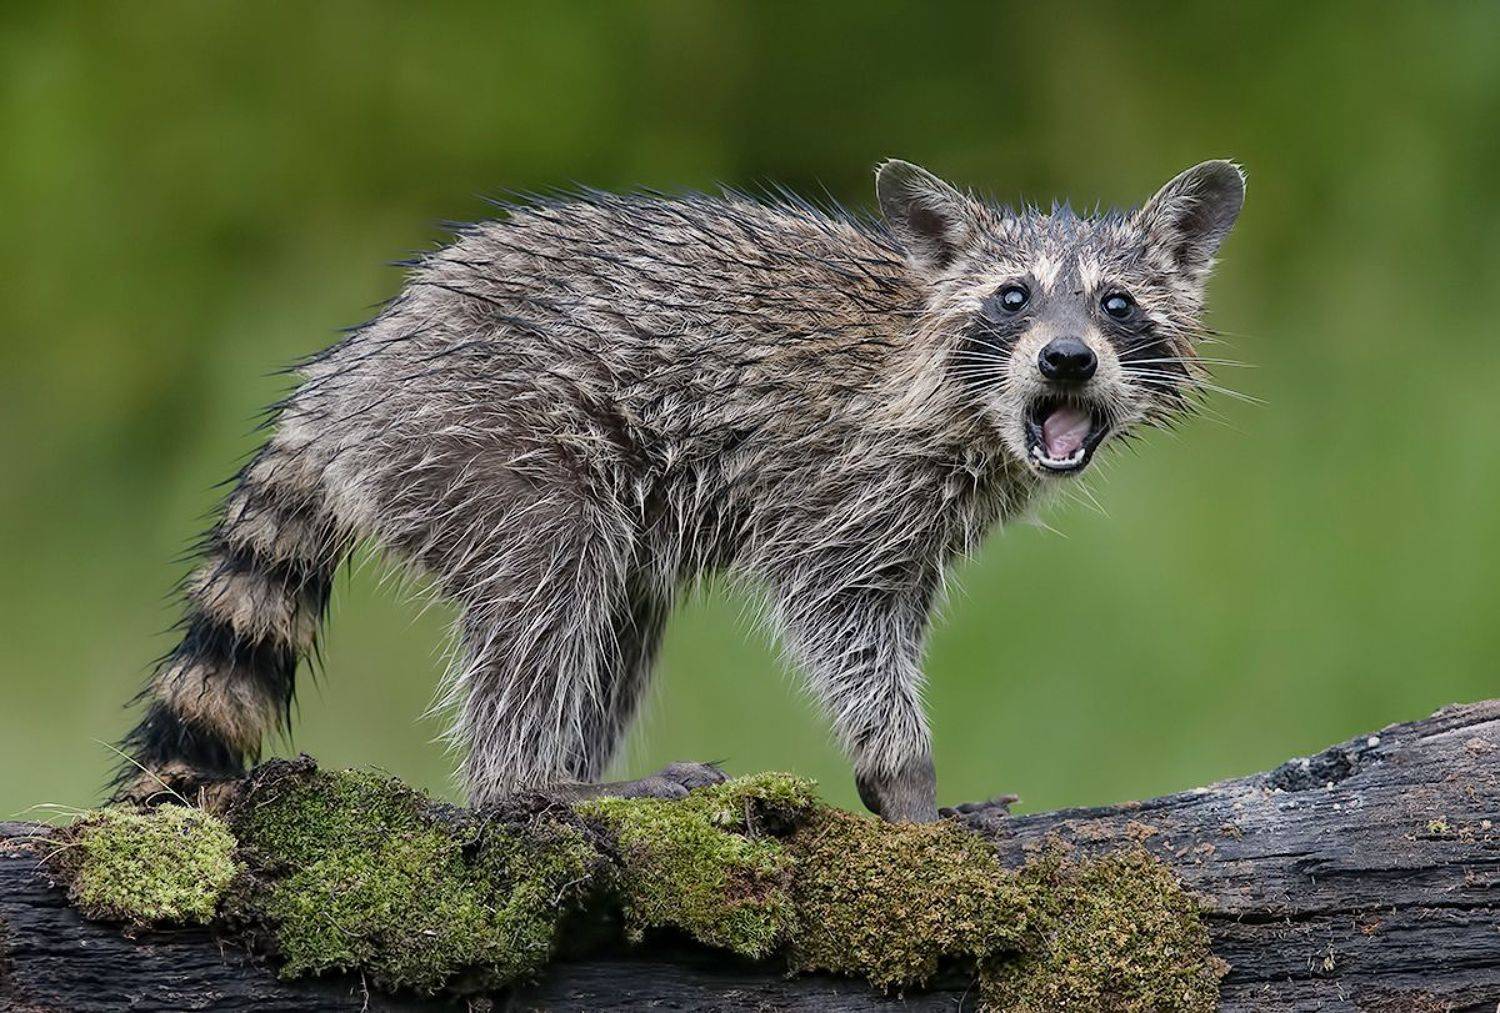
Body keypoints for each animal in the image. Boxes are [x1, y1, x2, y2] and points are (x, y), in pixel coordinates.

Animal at [117, 159, 1244, 822]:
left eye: (1117, 304)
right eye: (1013, 298)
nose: (1066, 360)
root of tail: (343, 380)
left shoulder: (917, 524)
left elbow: (892, 614)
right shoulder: (839, 483)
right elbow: (839, 617)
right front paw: (905, 779)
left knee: (615, 614)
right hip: (484, 441)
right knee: (547, 587)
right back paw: (532, 785)